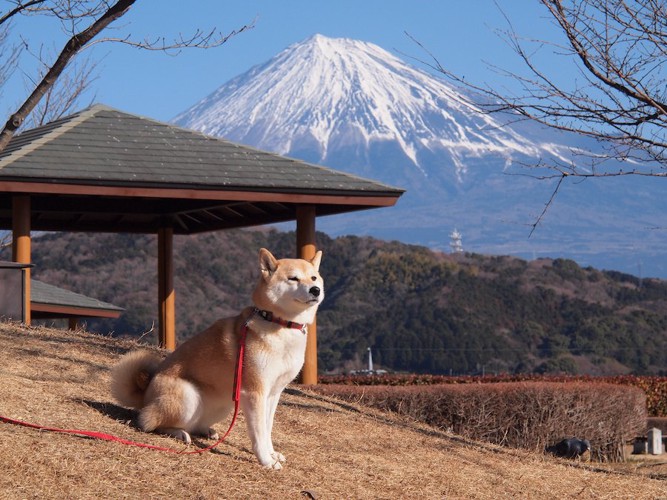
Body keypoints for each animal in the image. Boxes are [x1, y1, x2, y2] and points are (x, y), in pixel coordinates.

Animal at [111, 248, 324, 470]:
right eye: (293, 278)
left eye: (314, 277)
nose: (315, 290)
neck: (279, 324)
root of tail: (144, 395)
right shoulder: (254, 392)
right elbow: (258, 433)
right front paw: (266, 460)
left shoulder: (273, 393)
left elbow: (267, 429)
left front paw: (272, 453)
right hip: (188, 396)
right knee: (148, 422)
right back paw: (178, 432)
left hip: (225, 403)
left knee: (194, 423)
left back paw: (206, 430)